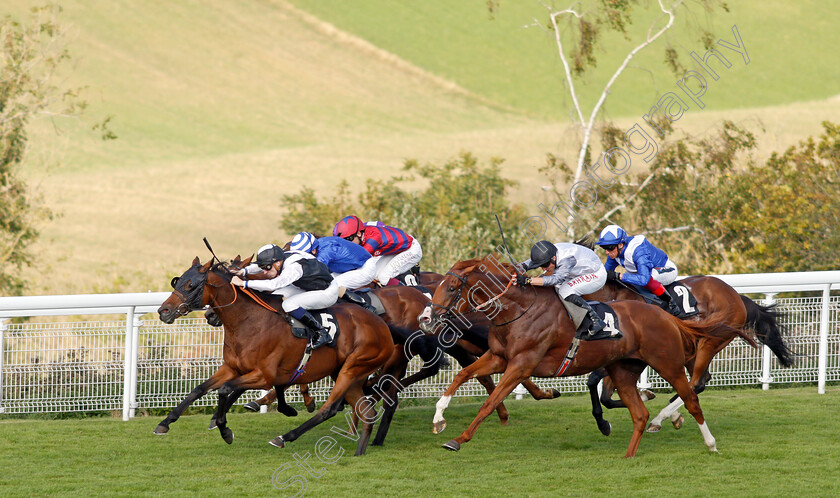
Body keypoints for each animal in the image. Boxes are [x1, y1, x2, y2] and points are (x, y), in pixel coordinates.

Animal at [157, 256, 394, 456]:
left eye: (191, 285)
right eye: (177, 282)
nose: (163, 311)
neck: (249, 321)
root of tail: (383, 326)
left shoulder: (264, 375)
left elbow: (225, 390)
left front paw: (225, 430)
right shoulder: (232, 368)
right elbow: (199, 389)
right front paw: (165, 423)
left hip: (352, 368)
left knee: (328, 409)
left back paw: (284, 437)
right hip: (347, 374)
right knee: (367, 413)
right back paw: (359, 451)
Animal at [420, 258, 756, 458]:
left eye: (452, 287)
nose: (426, 319)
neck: (518, 311)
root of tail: (665, 315)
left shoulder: (521, 364)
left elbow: (489, 402)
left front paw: (458, 439)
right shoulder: (499, 357)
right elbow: (463, 375)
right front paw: (438, 419)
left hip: (669, 363)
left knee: (692, 395)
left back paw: (705, 441)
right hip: (624, 370)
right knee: (639, 413)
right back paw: (630, 453)